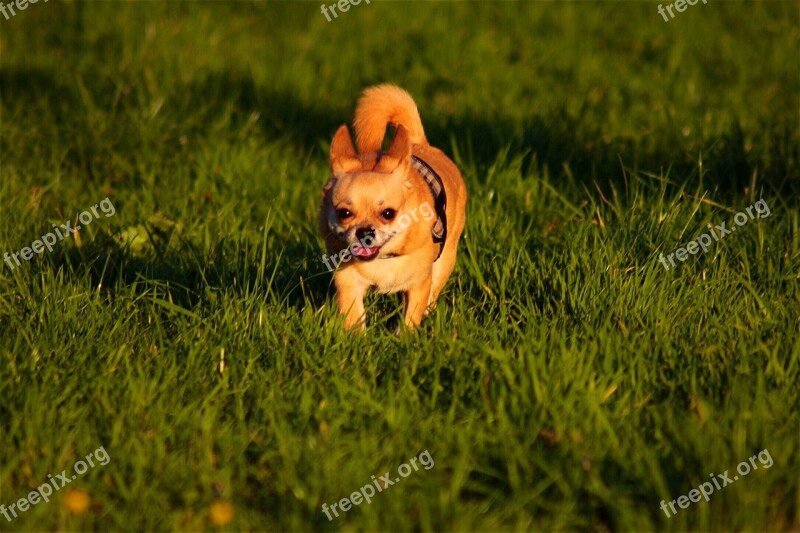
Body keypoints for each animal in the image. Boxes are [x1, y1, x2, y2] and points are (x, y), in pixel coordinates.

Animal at [320, 83, 468, 330]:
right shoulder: (348, 282)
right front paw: (356, 337)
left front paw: (406, 336)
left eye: (388, 213)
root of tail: (419, 143)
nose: (365, 232)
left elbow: (411, 316)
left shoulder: (419, 283)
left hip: (445, 258)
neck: (382, 259)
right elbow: (354, 315)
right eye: (344, 213)